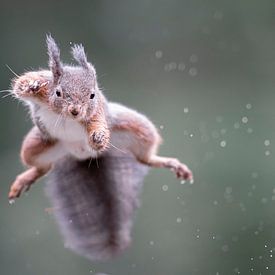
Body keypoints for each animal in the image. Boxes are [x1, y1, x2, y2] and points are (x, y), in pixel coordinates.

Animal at [8, 35, 194, 262]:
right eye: (58, 92)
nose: (76, 111)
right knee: (42, 167)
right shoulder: (45, 91)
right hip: (35, 146)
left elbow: (97, 124)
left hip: (137, 129)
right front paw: (32, 84)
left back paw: (168, 162)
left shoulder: (97, 113)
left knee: (145, 157)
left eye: (92, 95)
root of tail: (81, 155)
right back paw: (26, 178)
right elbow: (20, 84)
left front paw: (98, 137)